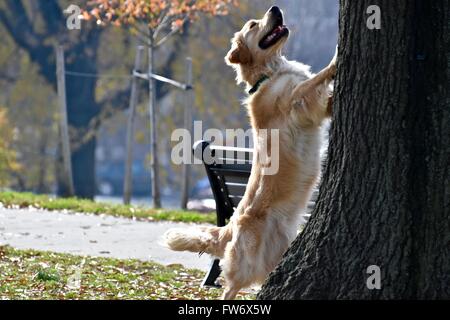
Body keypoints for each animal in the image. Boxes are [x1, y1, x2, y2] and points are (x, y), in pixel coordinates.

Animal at [163, 5, 336, 300]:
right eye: (254, 25)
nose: (275, 8)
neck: (269, 73)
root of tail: (230, 226)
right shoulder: (298, 101)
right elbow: (316, 78)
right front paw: (336, 58)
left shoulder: (314, 107)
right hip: (247, 260)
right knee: (229, 284)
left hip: (278, 249)